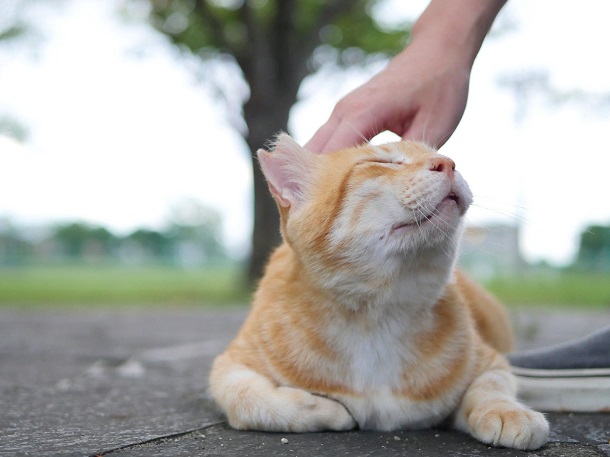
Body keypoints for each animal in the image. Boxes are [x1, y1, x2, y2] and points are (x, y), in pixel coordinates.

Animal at [208, 134, 548, 448]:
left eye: (438, 154)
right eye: (382, 162)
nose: (449, 163)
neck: (376, 317)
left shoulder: (492, 363)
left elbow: (491, 388)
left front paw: (510, 413)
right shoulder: (229, 367)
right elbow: (250, 398)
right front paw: (328, 410)